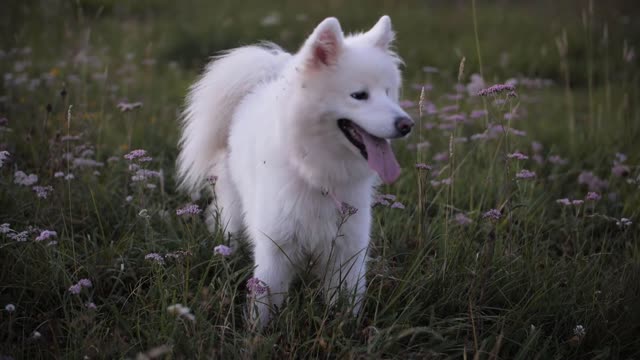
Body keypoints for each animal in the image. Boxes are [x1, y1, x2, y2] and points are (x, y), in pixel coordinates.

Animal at [178, 14, 412, 326]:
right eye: (359, 95)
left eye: (388, 92)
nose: (407, 124)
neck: (318, 174)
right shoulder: (275, 250)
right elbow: (264, 303)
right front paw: (256, 333)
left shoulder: (348, 251)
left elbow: (346, 304)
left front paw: (345, 328)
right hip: (233, 211)